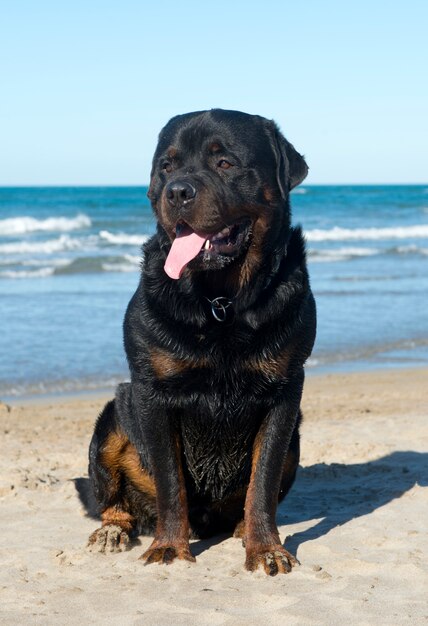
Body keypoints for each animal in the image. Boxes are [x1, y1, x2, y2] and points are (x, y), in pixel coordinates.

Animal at [87, 108, 316, 576]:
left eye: (224, 163)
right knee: (111, 493)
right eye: (166, 166)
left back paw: (242, 528)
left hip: (297, 438)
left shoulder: (285, 393)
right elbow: (170, 480)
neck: (221, 300)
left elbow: (263, 480)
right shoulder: (152, 393)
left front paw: (265, 546)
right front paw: (169, 546)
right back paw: (112, 528)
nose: (177, 191)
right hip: (113, 416)